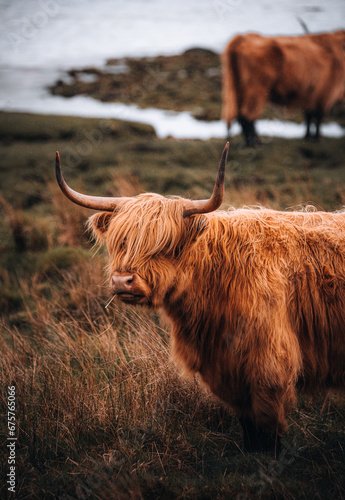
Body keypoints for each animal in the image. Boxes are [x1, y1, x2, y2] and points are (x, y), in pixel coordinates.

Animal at [55, 144, 344, 454]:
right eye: (121, 242)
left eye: (165, 246)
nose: (123, 281)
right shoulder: (227, 368)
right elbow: (248, 424)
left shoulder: (270, 362)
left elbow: (268, 425)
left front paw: (268, 457)